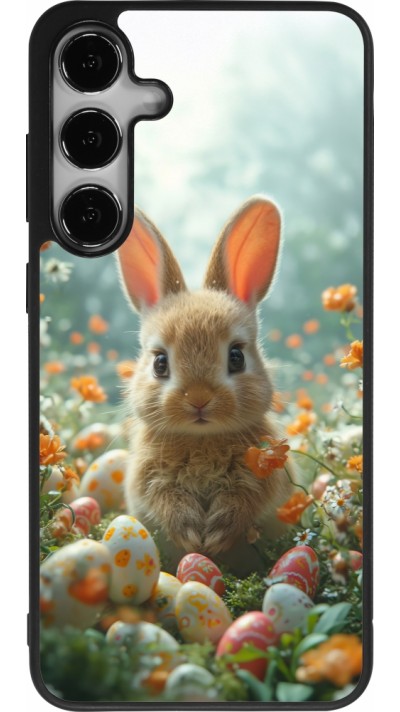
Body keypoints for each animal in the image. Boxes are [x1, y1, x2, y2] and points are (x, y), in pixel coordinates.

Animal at [117, 196, 294, 575]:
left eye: (236, 357)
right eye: (160, 362)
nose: (198, 399)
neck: (201, 439)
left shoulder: (264, 474)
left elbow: (245, 500)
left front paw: (215, 535)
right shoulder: (148, 478)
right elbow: (164, 499)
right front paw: (191, 534)